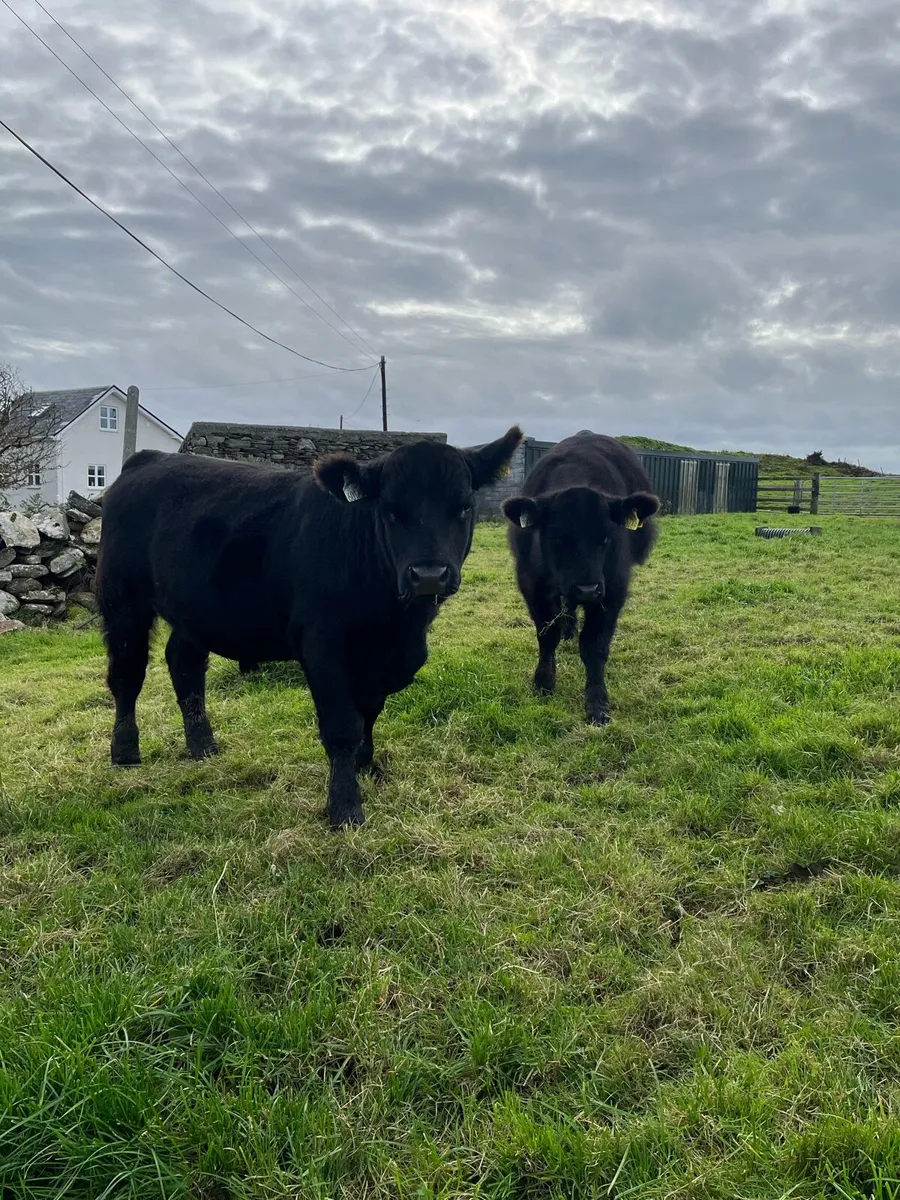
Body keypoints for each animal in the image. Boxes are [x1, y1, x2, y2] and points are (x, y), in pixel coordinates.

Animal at [95, 427, 522, 829]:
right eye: (390, 511)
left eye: (463, 507)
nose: (429, 575)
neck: (396, 624)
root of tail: (148, 460)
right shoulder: (323, 647)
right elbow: (342, 727)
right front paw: (345, 807)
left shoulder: (381, 658)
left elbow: (370, 713)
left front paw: (366, 764)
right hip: (122, 600)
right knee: (127, 675)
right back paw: (126, 752)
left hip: (193, 610)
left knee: (184, 665)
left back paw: (203, 745)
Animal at [501, 431, 660, 726]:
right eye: (557, 538)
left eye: (606, 537)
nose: (587, 588)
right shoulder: (532, 586)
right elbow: (547, 636)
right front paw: (544, 682)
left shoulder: (612, 589)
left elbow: (594, 646)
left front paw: (597, 703)